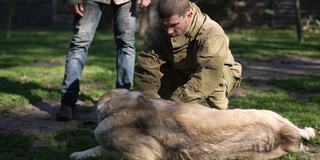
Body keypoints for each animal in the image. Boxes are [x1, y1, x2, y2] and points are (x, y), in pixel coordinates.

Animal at [69, 89, 316, 159]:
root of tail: (283, 135)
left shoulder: (139, 156)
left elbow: (100, 148)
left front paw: (78, 153)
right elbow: (98, 148)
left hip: (270, 113)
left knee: (299, 129)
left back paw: (309, 130)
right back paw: (310, 132)